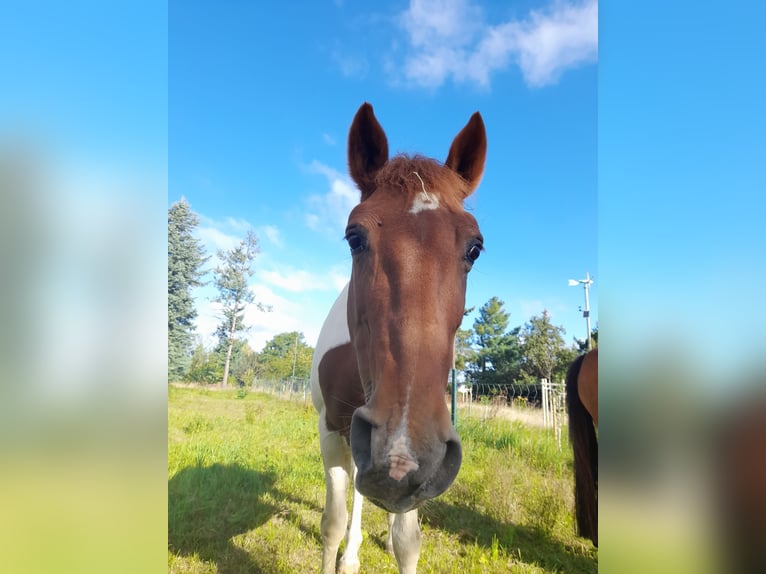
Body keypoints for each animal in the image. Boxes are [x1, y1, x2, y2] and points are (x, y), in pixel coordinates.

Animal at [310, 104, 486, 574]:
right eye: (354, 236)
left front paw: (392, 542)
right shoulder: (332, 432)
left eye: (475, 248)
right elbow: (332, 523)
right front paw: (342, 550)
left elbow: (408, 542)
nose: (401, 456)